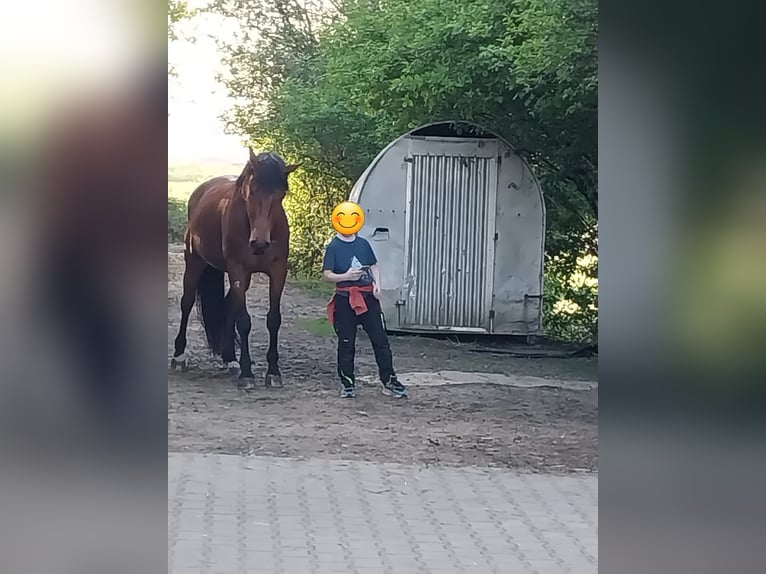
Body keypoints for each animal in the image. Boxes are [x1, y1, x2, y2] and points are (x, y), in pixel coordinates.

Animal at [171, 148, 300, 392]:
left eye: (281, 194)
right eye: (252, 191)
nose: (259, 244)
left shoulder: (278, 271)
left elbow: (273, 319)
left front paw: (273, 372)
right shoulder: (237, 270)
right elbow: (244, 321)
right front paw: (247, 374)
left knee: (228, 305)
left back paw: (230, 358)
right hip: (194, 262)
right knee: (187, 302)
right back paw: (179, 357)